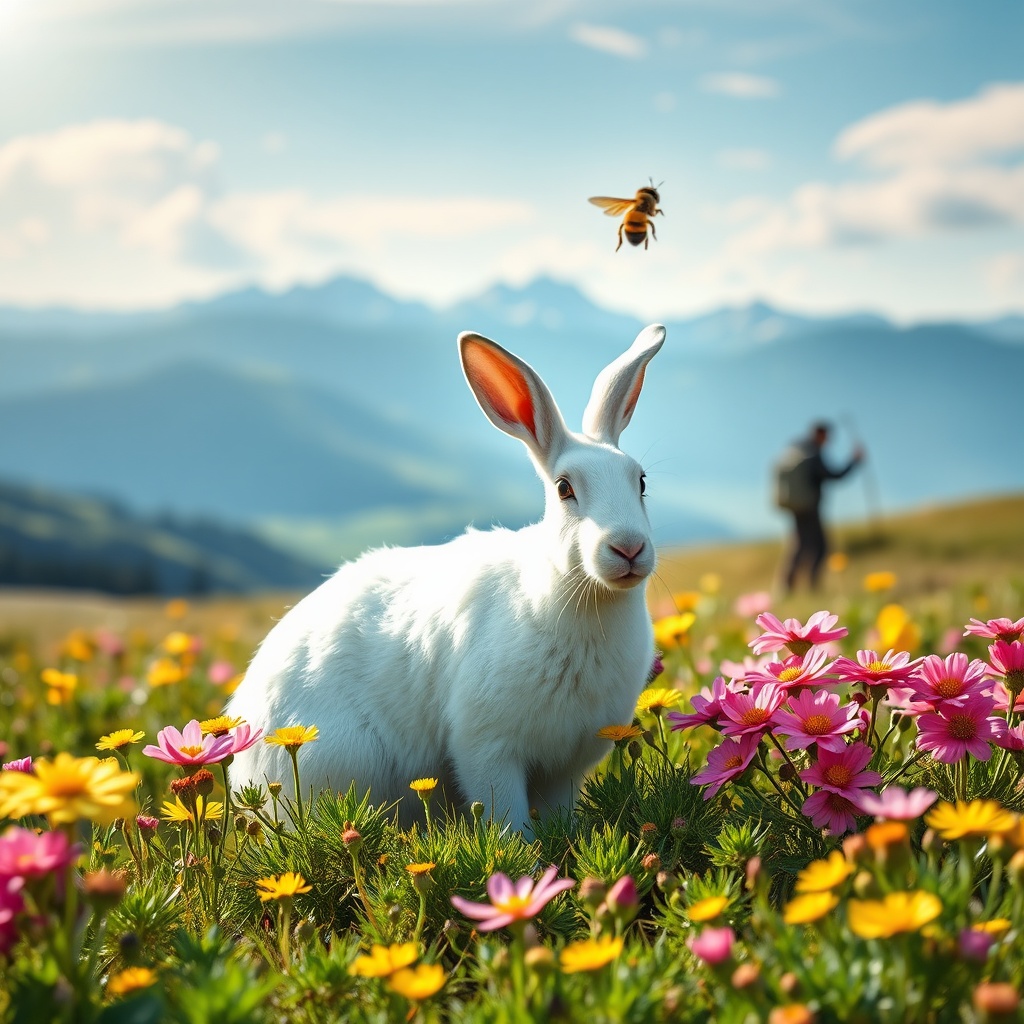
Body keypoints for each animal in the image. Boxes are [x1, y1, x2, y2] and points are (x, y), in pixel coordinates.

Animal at [226, 323, 666, 830]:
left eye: (641, 481)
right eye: (564, 488)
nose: (628, 548)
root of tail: (246, 767)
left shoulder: (565, 770)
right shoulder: (488, 749)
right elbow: (508, 821)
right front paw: (524, 853)